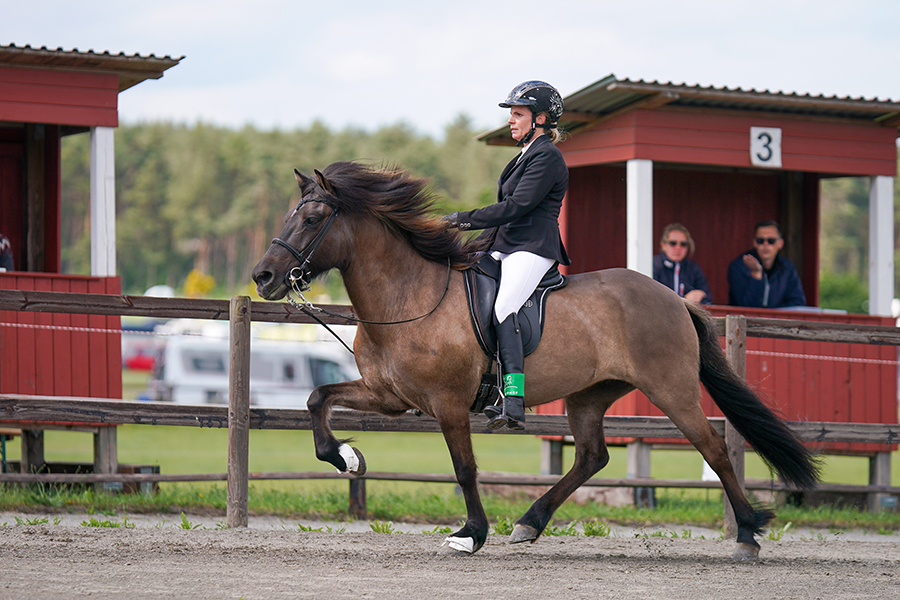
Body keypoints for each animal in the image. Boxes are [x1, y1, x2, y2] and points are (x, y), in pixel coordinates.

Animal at [250, 162, 820, 560]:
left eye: (314, 218)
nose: (263, 277)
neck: (408, 296)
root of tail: (674, 298)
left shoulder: (448, 404)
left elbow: (464, 468)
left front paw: (471, 534)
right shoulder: (390, 396)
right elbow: (316, 398)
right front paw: (346, 457)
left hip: (671, 389)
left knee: (714, 449)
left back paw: (747, 534)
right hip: (590, 394)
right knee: (592, 457)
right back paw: (530, 522)